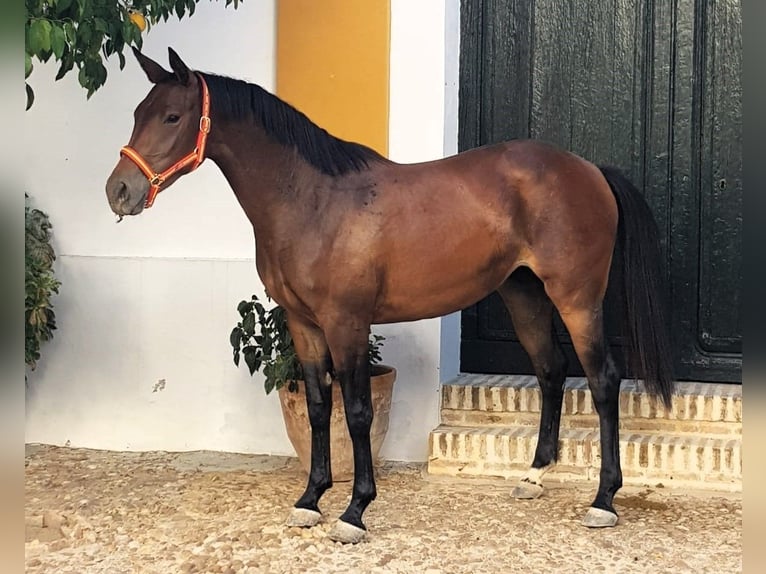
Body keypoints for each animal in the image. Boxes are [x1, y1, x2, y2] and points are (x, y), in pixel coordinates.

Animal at [105, 47, 674, 543]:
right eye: (137, 113)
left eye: (173, 116)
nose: (119, 191)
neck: (311, 199)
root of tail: (590, 170)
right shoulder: (303, 324)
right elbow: (318, 408)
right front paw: (310, 500)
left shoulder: (347, 322)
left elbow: (357, 412)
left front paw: (354, 511)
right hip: (524, 295)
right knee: (552, 371)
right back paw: (534, 477)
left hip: (577, 298)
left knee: (602, 381)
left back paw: (603, 501)